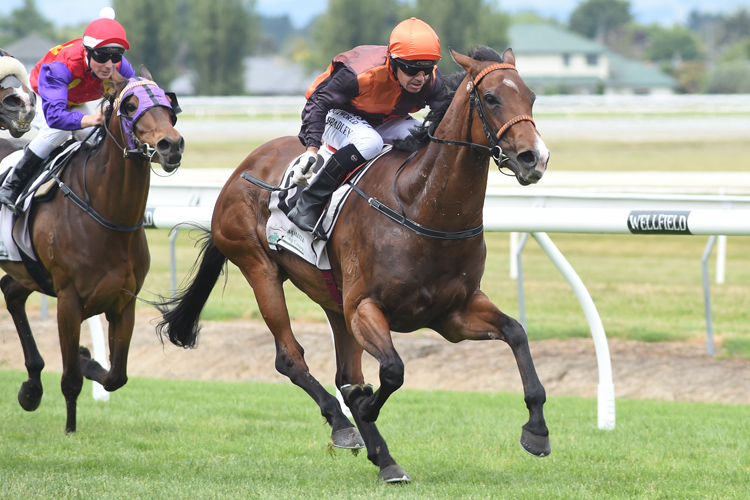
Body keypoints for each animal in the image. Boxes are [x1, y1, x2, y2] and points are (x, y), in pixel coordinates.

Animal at [0, 67, 185, 434]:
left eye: (168, 103)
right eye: (130, 106)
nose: (171, 145)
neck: (107, 215)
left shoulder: (123, 301)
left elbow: (117, 375)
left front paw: (88, 360)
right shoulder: (68, 301)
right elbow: (70, 379)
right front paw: (70, 429)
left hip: (26, 271)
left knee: (11, 292)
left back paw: (31, 389)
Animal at [157, 47, 552, 480]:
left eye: (531, 97)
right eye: (492, 99)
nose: (534, 157)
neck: (421, 206)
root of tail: (242, 169)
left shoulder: (454, 313)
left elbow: (516, 332)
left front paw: (537, 430)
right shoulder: (365, 306)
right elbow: (393, 370)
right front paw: (364, 407)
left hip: (334, 299)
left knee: (345, 374)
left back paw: (384, 458)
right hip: (260, 268)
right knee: (291, 358)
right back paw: (345, 425)